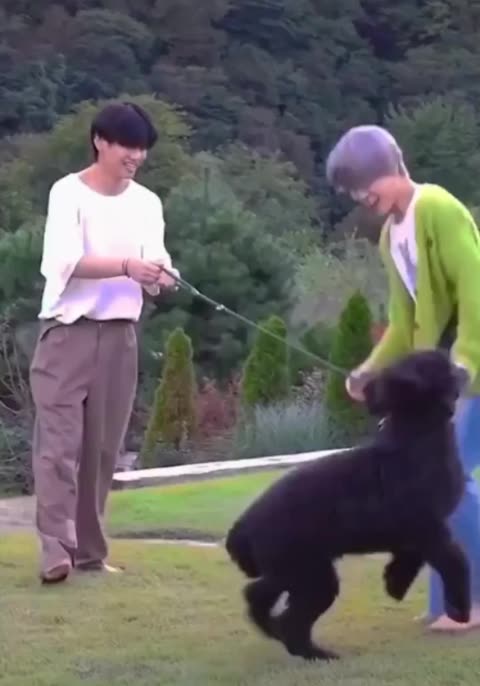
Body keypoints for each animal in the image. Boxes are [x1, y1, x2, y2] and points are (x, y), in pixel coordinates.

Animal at [225, 349, 470, 661]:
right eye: (443, 365)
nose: (463, 367)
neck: (416, 436)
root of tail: (243, 527)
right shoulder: (428, 528)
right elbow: (454, 561)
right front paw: (460, 610)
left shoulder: (416, 532)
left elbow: (412, 557)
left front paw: (395, 582)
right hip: (308, 573)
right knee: (289, 618)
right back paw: (317, 654)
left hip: (294, 570)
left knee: (259, 595)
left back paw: (274, 631)